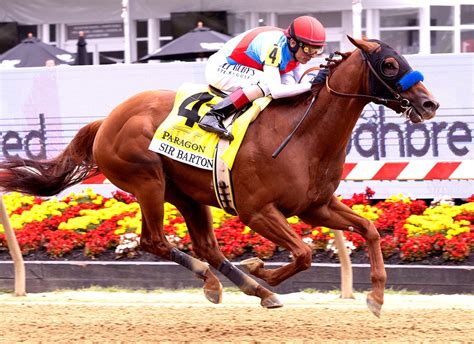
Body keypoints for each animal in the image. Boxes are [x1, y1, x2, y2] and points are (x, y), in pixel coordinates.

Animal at [0, 36, 436, 316]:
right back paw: (227, 283)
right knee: (154, 240)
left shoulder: (316, 207)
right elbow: (304, 253)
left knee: (206, 247)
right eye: (390, 64)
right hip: (148, 181)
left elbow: (370, 230)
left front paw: (377, 296)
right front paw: (262, 268)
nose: (429, 103)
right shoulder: (257, 211)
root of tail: (107, 119)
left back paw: (246, 288)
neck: (304, 134)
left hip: (188, 194)